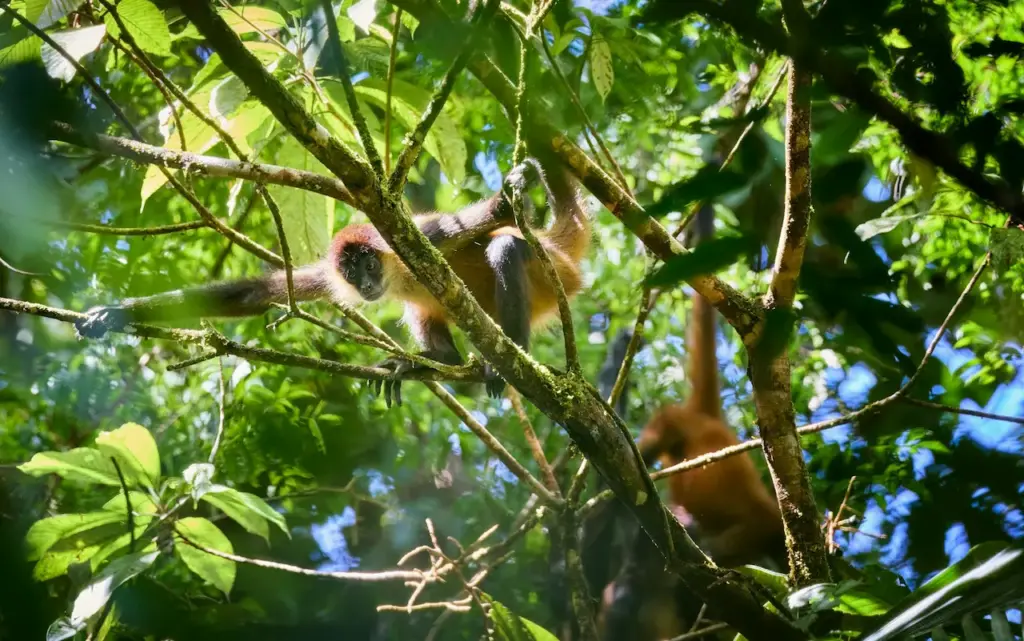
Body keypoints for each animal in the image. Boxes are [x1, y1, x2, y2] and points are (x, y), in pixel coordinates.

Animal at [75, 154, 589, 401]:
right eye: (349, 272)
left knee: (508, 247)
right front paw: (113, 314)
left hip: (549, 277)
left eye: (369, 265)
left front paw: (510, 196)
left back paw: (505, 359)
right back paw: (426, 361)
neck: (397, 274)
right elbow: (257, 295)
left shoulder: (424, 237)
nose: (365, 285)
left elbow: (490, 220)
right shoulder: (328, 274)